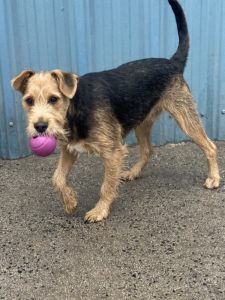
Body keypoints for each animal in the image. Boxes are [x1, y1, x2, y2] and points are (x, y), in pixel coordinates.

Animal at [11, 0, 220, 223]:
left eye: (53, 99)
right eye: (29, 101)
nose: (40, 127)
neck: (76, 107)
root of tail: (173, 62)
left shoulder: (113, 153)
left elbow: (106, 186)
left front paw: (100, 210)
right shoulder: (69, 149)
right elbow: (57, 177)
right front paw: (70, 202)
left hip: (185, 116)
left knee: (209, 146)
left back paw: (214, 178)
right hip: (141, 121)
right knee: (147, 150)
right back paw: (134, 172)